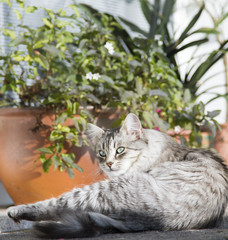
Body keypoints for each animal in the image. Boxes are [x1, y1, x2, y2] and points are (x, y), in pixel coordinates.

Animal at [6, 113, 228, 238]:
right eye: (102, 153)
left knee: (55, 205)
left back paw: (16, 211)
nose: (109, 164)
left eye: (120, 150)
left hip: (98, 191)